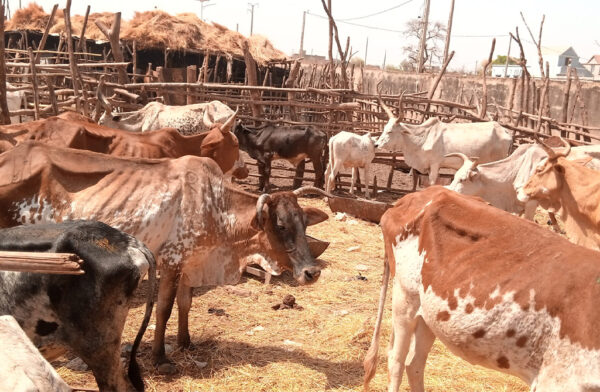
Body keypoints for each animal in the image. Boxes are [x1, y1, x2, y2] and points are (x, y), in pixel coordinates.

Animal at [0, 142, 330, 374]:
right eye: (281, 225)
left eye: (304, 223)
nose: (312, 273)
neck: (216, 206)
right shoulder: (171, 260)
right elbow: (164, 309)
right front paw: (160, 358)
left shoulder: (190, 261)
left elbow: (186, 303)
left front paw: (186, 342)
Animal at [364, 186, 600, 392]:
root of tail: (416, 195)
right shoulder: (556, 380)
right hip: (405, 298)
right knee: (396, 360)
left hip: (429, 314)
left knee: (414, 363)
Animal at [376, 95, 510, 188]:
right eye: (384, 128)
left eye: (390, 131)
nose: (377, 144)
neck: (423, 137)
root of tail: (504, 130)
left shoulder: (435, 164)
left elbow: (431, 183)